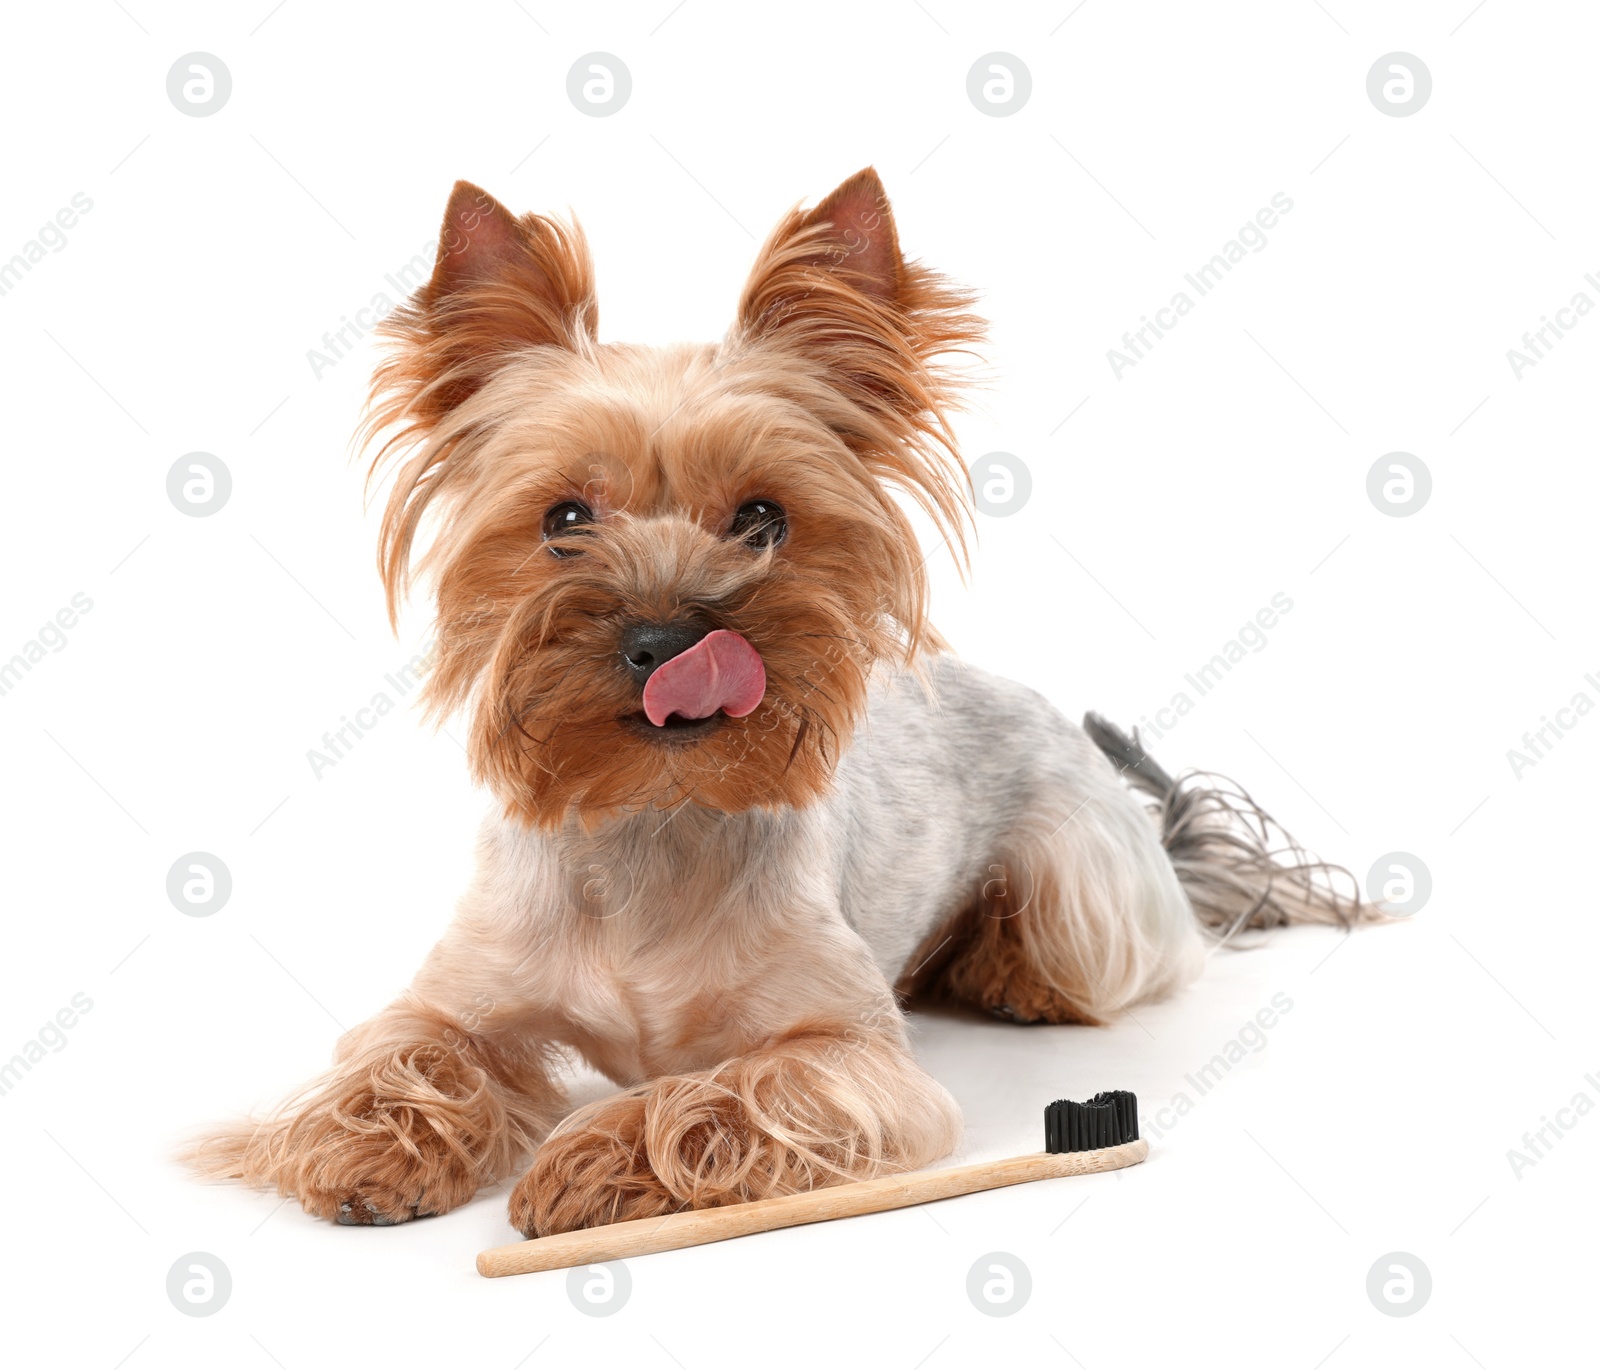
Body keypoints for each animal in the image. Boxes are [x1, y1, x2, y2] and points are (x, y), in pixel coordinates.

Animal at [184, 168, 1363, 1229]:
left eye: (762, 518)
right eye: (564, 518)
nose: (669, 638)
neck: (653, 812)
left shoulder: (849, 1052)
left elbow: (737, 1087)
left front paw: (601, 1156)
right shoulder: (458, 992)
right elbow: (410, 1048)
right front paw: (375, 1146)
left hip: (1084, 889)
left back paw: (1007, 973)